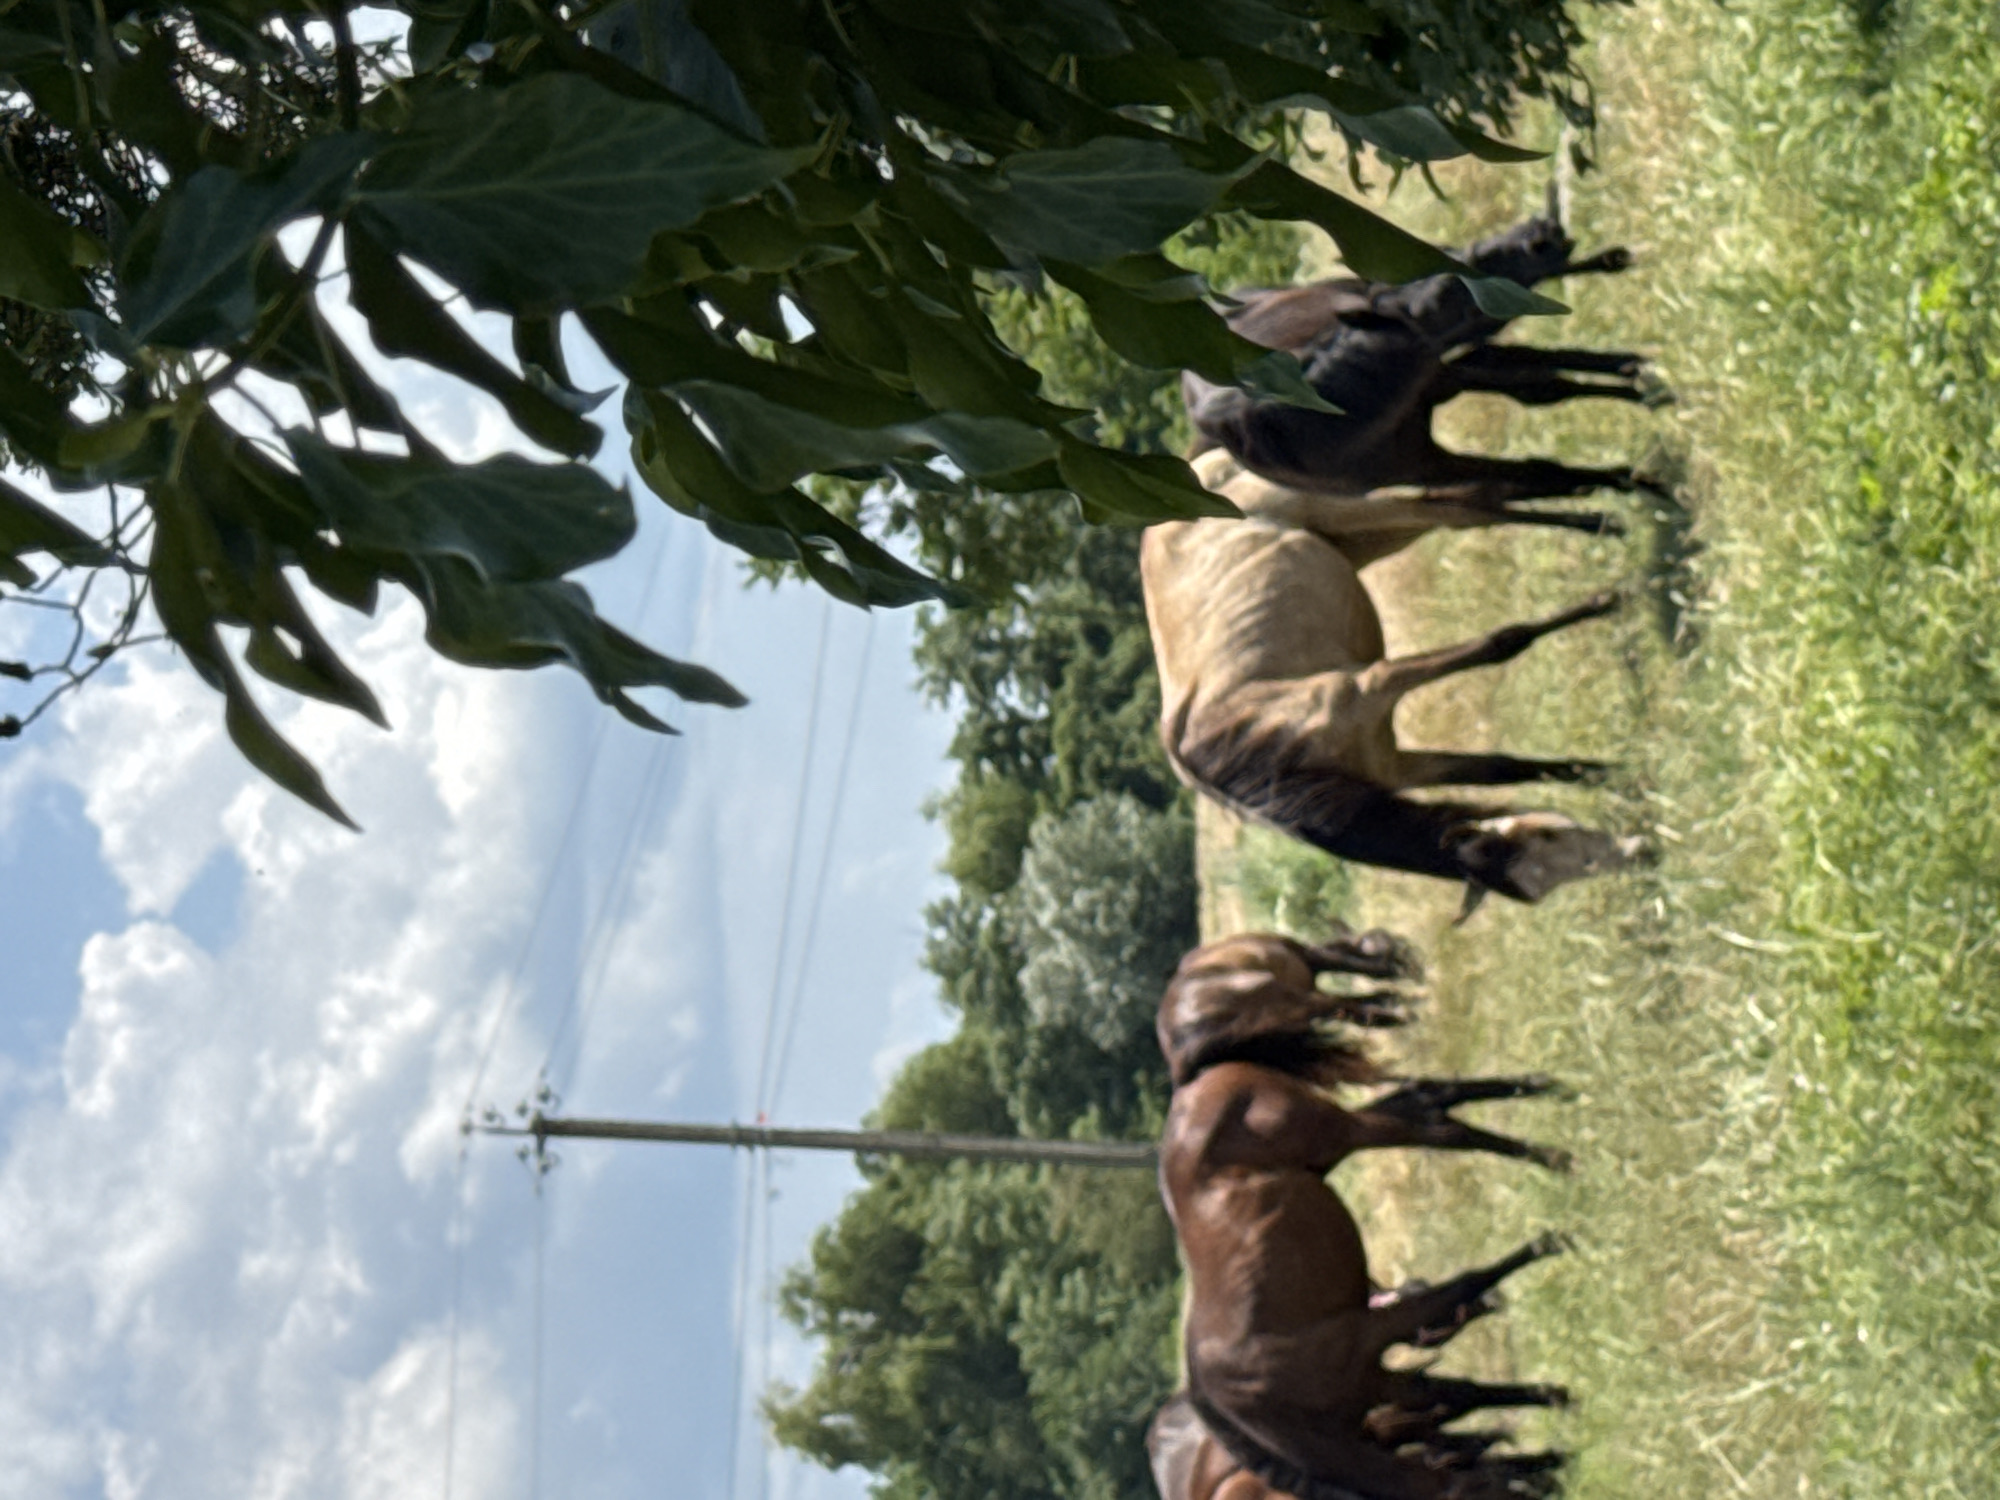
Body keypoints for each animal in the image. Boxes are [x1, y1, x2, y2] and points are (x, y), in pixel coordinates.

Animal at [1140, 449, 1651, 910]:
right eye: (1547, 845)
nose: (1636, 853)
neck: (1264, 754)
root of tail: (1203, 461)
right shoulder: (1397, 766)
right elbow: (1500, 768)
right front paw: (1607, 774)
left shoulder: (1371, 686)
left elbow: (1501, 643)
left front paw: (1607, 599)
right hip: (1365, 538)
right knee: (1468, 500)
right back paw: (1614, 498)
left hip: (1342, 510)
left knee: (1462, 508)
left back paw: (1618, 508)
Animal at [1156, 966, 1574, 1499]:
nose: (1553, 1475)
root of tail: (1190, 1082)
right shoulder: (1376, 1378)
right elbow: (1457, 1391)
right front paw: (1552, 1395)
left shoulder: (1375, 1333)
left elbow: (1460, 1288)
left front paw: (1548, 1244)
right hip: (1337, 1140)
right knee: (1427, 1103)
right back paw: (1540, 1101)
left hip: (1340, 1129)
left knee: (1434, 1120)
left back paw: (1545, 1144)